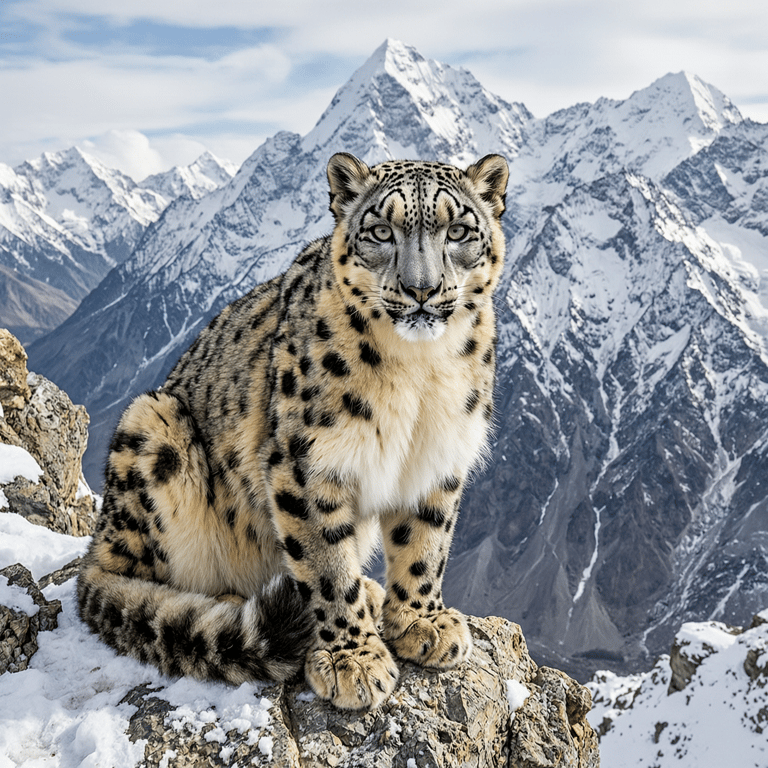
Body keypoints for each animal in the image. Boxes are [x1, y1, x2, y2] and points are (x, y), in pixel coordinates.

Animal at [77, 151, 509, 710]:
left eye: (457, 231)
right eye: (381, 231)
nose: (421, 289)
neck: (421, 371)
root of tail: (98, 542)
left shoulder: (440, 455)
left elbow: (425, 544)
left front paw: (423, 623)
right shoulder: (308, 462)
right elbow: (325, 562)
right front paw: (353, 660)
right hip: (150, 427)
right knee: (146, 579)